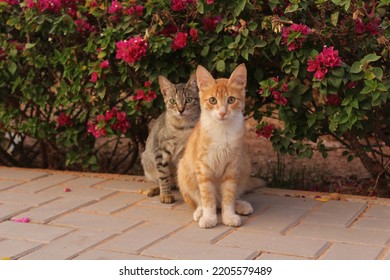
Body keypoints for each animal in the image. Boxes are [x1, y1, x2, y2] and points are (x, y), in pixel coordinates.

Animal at [141, 73, 201, 202]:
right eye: (173, 101)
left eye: (188, 100)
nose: (181, 110)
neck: (182, 128)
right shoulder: (160, 151)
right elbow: (163, 176)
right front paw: (165, 195)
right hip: (146, 161)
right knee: (160, 180)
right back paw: (155, 189)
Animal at [177, 63, 253, 228]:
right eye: (212, 100)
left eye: (231, 100)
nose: (222, 113)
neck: (222, 131)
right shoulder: (203, 167)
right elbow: (207, 196)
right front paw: (209, 217)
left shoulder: (233, 165)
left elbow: (229, 195)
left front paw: (229, 215)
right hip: (183, 169)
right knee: (199, 199)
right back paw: (200, 212)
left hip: (245, 164)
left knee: (230, 197)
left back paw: (241, 205)